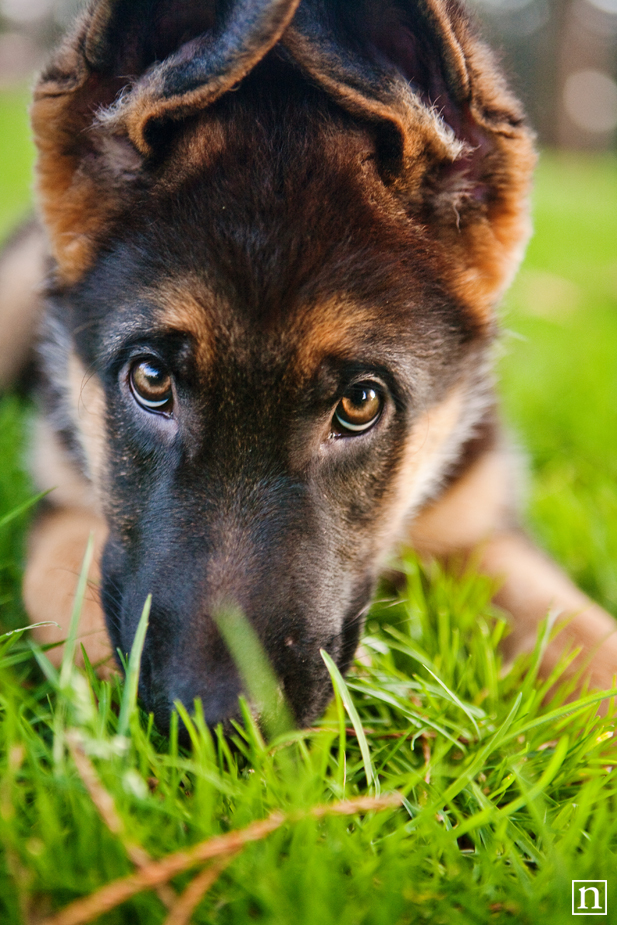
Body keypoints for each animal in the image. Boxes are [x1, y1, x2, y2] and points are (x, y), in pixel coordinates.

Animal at [1, 1, 616, 736]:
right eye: (150, 381)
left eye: (360, 403)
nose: (217, 726)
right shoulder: (63, 500)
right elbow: (73, 594)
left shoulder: (481, 521)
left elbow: (588, 639)